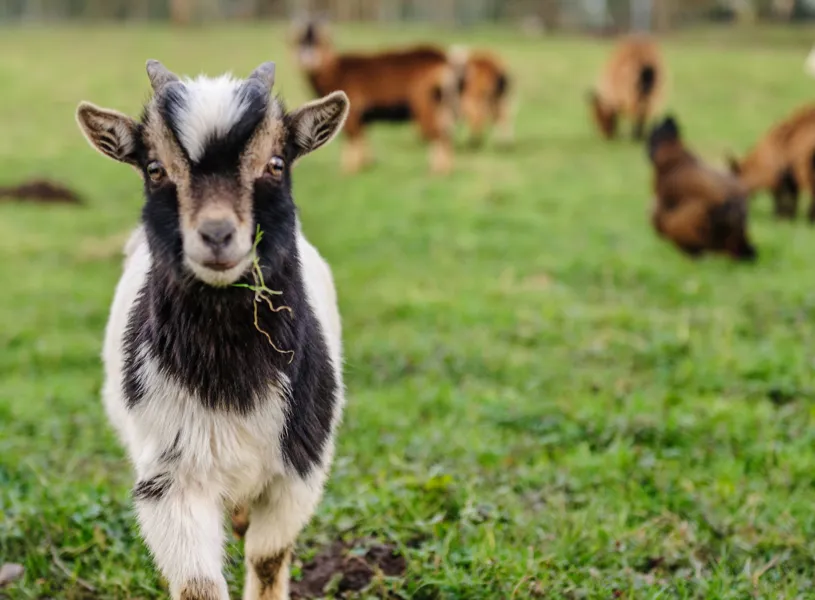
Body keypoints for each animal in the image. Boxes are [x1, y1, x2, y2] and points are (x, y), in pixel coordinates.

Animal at [75, 59, 349, 600]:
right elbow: (198, 584)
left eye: (277, 163)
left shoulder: (299, 469)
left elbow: (267, 558)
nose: (217, 234)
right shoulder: (171, 476)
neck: (231, 379)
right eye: (155, 168)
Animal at [291, 19, 456, 174]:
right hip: (441, 104)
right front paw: (365, 165)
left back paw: (437, 171)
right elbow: (362, 139)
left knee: (438, 134)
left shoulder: (354, 111)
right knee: (445, 133)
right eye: (300, 41)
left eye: (318, 42)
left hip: (424, 103)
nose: (307, 59)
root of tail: (442, 59)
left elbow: (352, 139)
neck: (337, 69)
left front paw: (349, 170)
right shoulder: (363, 118)